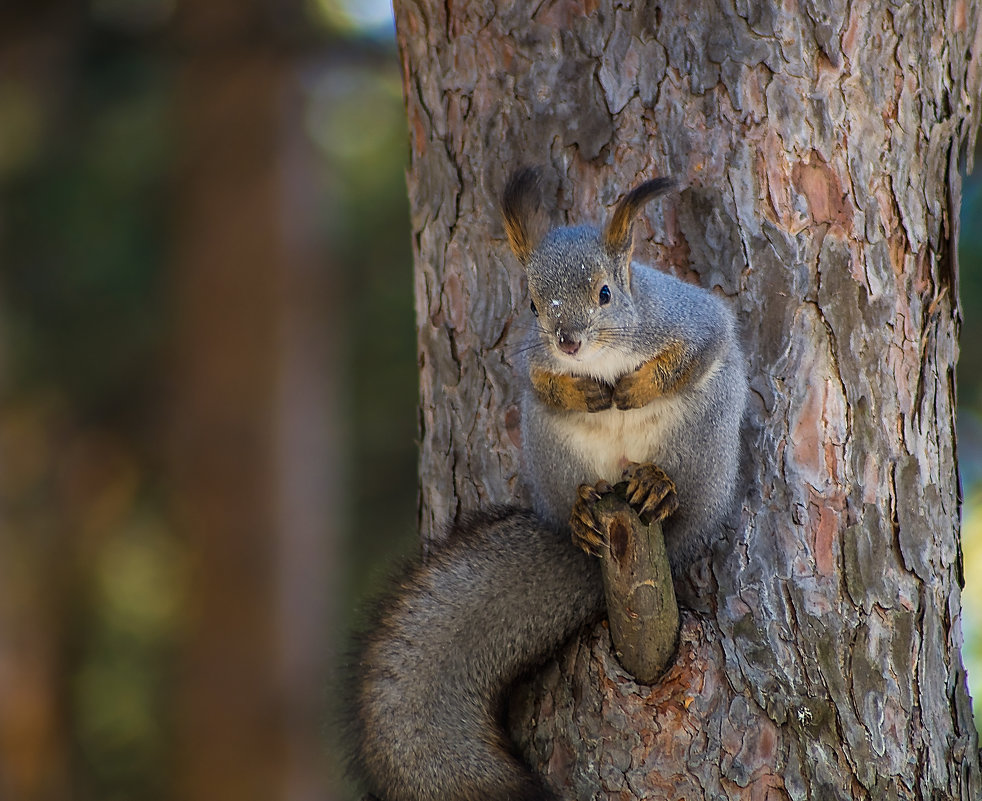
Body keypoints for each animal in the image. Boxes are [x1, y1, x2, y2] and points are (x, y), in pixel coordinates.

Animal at [344, 167, 744, 800]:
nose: (567, 341)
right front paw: (582, 391)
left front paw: (635, 387)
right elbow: (541, 378)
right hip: (549, 446)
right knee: (574, 491)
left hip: (703, 440)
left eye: (605, 293)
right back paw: (582, 511)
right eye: (532, 304)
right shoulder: (530, 361)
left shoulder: (690, 318)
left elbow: (700, 344)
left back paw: (658, 487)